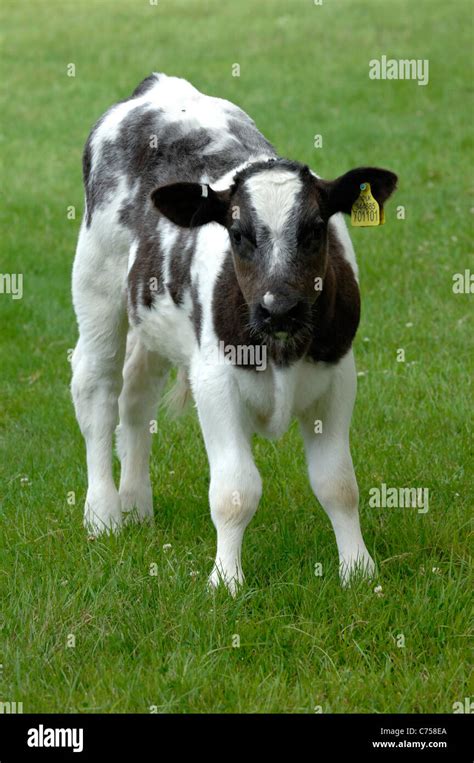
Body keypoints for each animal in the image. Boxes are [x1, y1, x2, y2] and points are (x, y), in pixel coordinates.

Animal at [70, 73, 396, 596]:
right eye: (238, 234)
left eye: (314, 229)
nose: (279, 307)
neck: (281, 350)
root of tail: (157, 85)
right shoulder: (215, 381)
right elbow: (236, 490)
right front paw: (225, 580)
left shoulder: (338, 376)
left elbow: (338, 484)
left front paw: (358, 570)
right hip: (96, 281)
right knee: (97, 389)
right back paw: (103, 514)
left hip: (152, 312)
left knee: (136, 396)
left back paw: (136, 504)